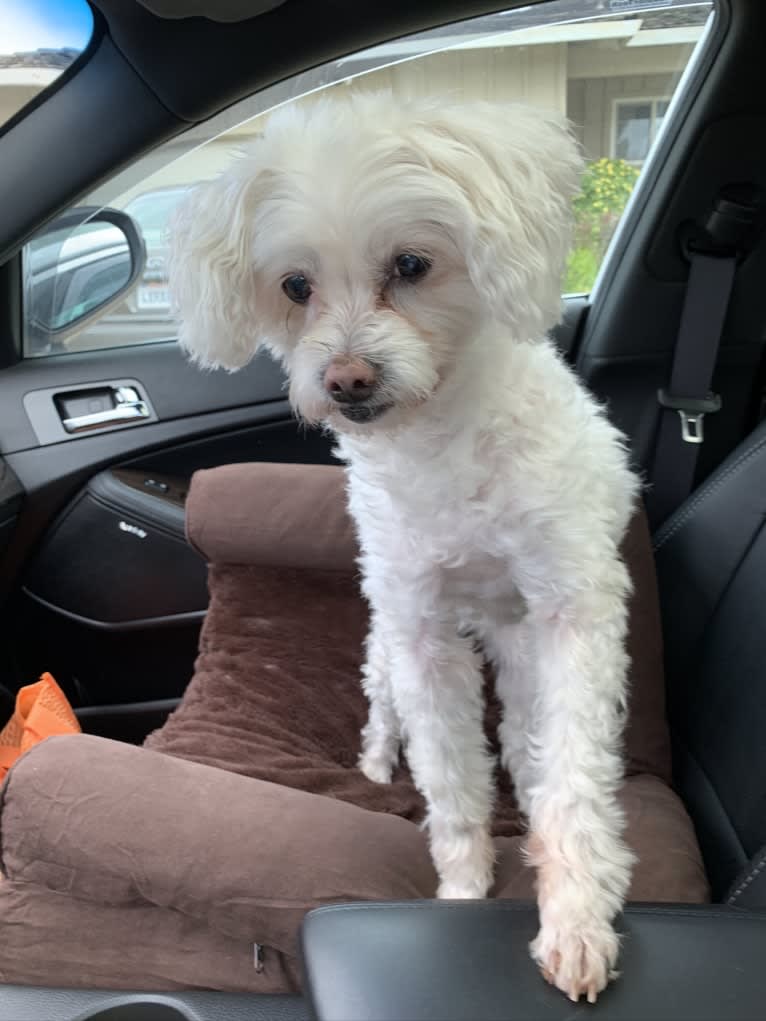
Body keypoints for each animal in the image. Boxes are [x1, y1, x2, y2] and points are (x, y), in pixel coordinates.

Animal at [169, 91, 641, 1000]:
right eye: (296, 286)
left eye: (412, 265)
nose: (346, 380)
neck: (443, 438)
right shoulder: (420, 630)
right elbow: (451, 774)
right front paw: (461, 892)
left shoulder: (570, 609)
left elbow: (571, 768)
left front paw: (575, 917)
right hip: (384, 644)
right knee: (388, 715)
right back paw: (379, 765)